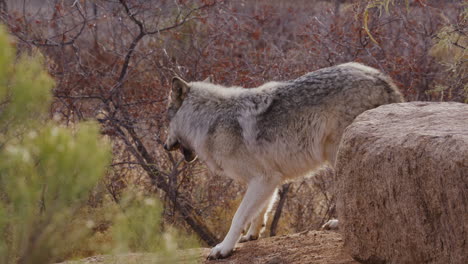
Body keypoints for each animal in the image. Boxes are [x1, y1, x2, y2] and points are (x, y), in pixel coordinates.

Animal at [164, 63, 402, 258]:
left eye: (167, 120)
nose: (164, 146)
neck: (210, 121)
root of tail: (381, 77)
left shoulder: (264, 178)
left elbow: (238, 217)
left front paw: (223, 249)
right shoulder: (270, 180)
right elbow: (262, 210)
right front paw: (252, 235)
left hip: (339, 155)